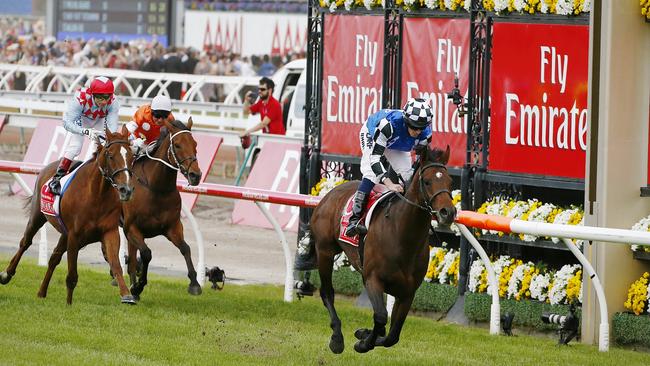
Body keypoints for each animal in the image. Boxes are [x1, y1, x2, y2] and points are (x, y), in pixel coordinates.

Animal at [0, 128, 134, 304]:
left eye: (131, 157)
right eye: (111, 155)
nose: (126, 189)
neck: (96, 195)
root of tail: (48, 167)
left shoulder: (109, 232)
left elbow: (116, 264)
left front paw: (126, 294)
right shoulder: (74, 235)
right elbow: (72, 275)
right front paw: (69, 304)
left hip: (64, 232)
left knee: (54, 257)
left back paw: (41, 292)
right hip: (37, 216)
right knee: (25, 242)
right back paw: (6, 274)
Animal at [310, 144, 454, 354]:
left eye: (450, 181)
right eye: (427, 182)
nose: (448, 212)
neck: (402, 237)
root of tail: (331, 193)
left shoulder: (408, 292)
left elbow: (392, 335)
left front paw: (364, 333)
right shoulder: (373, 279)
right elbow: (380, 316)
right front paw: (363, 343)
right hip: (325, 251)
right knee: (327, 292)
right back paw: (337, 338)